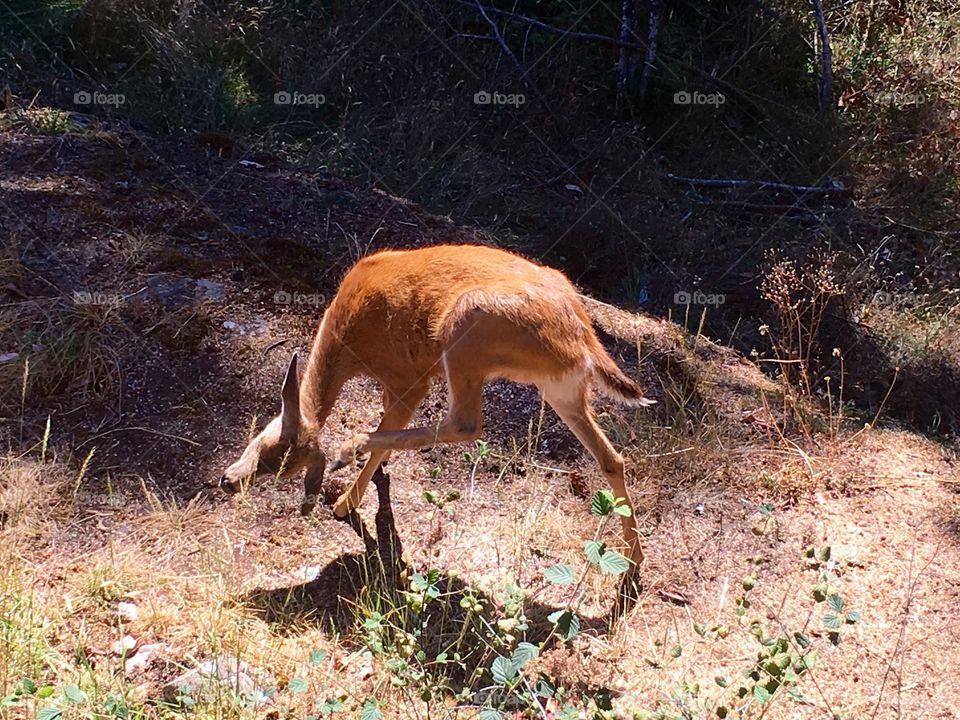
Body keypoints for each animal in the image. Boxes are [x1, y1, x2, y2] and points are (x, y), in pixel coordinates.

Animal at [218, 245, 656, 584]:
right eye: (258, 443)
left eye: (279, 465)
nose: (227, 481)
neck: (349, 335)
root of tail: (584, 337)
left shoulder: (407, 378)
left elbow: (389, 428)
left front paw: (346, 499)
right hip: (560, 388)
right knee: (611, 457)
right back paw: (633, 561)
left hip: (466, 336)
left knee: (466, 424)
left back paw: (349, 451)